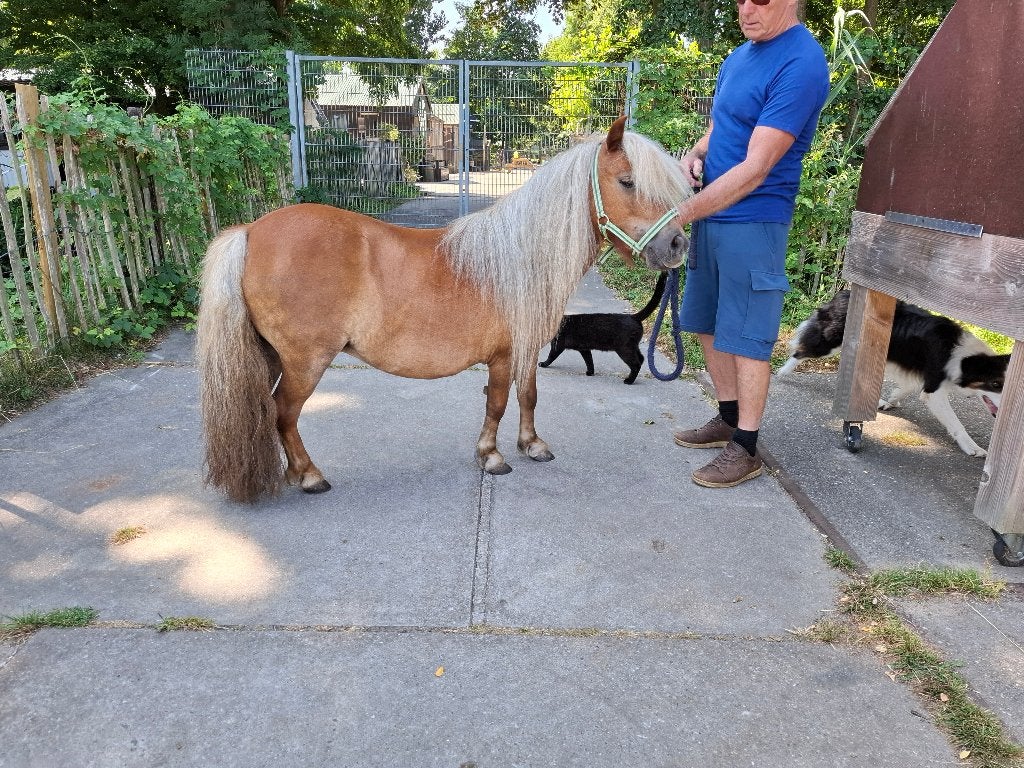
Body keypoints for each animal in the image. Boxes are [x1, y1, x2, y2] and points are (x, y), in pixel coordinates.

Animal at [196, 115, 692, 503]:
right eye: (627, 181)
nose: (677, 245)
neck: (519, 257)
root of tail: (250, 231)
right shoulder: (503, 356)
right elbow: (497, 403)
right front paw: (491, 457)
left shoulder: (528, 349)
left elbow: (529, 396)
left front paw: (532, 445)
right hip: (305, 361)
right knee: (284, 413)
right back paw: (310, 476)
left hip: (270, 355)